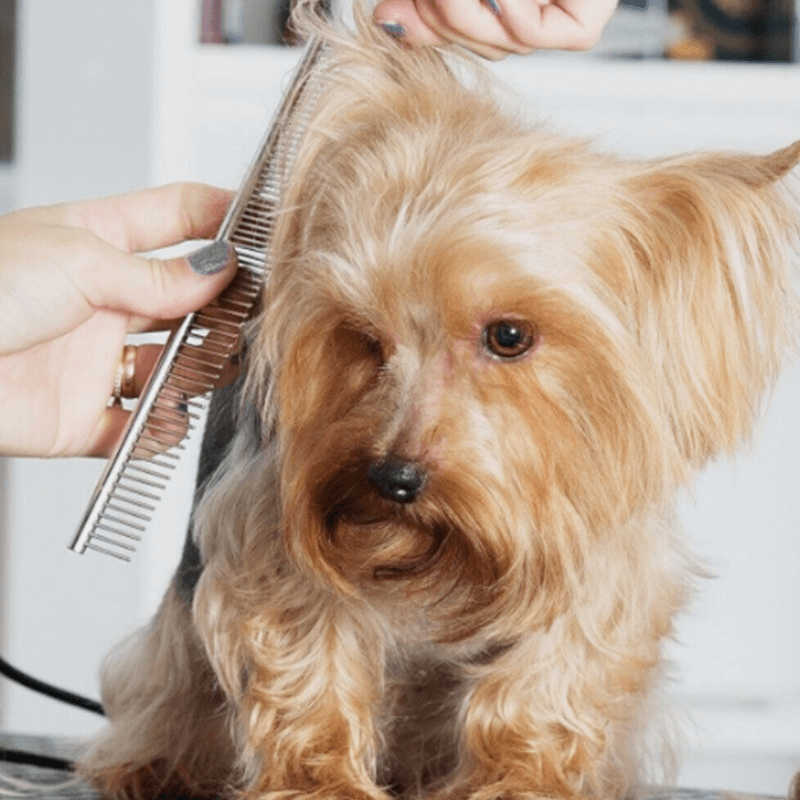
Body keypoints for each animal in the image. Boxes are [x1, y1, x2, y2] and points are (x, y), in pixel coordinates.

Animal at [76, 7, 800, 800]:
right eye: (363, 336)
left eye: (509, 335)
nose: (393, 479)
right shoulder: (272, 530)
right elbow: (308, 655)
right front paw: (319, 782)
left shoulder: (598, 556)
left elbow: (548, 681)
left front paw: (520, 780)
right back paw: (156, 763)